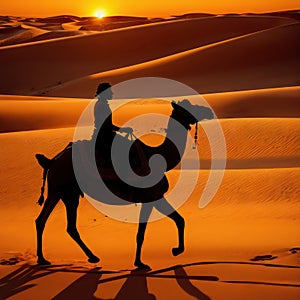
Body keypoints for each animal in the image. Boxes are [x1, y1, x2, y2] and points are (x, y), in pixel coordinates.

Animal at [34, 100, 213, 270]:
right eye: (189, 106)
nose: (208, 111)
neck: (157, 156)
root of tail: (51, 161)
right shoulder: (149, 198)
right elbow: (141, 233)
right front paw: (140, 263)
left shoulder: (157, 196)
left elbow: (180, 219)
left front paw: (176, 250)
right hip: (67, 191)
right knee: (64, 225)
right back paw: (86, 258)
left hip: (59, 191)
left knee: (44, 221)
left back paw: (48, 259)